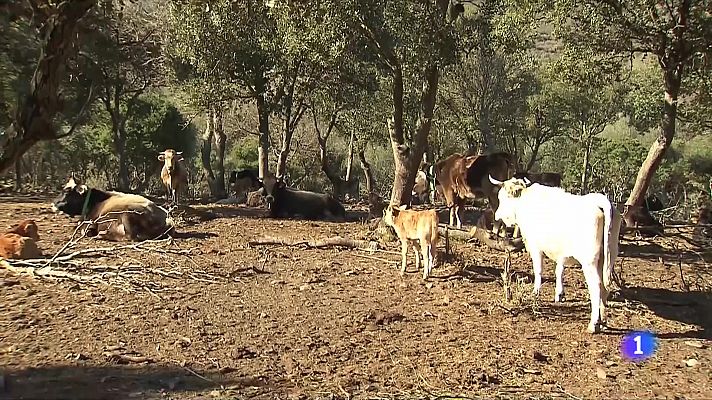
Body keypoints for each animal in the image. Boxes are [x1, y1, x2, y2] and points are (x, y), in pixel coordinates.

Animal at [486, 176, 620, 334]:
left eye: (503, 197)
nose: (497, 215)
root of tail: (599, 201)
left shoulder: (536, 246)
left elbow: (538, 270)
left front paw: (535, 293)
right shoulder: (560, 252)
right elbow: (559, 270)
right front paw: (559, 294)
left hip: (590, 262)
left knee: (597, 287)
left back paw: (594, 324)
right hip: (607, 258)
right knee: (605, 287)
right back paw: (603, 321)